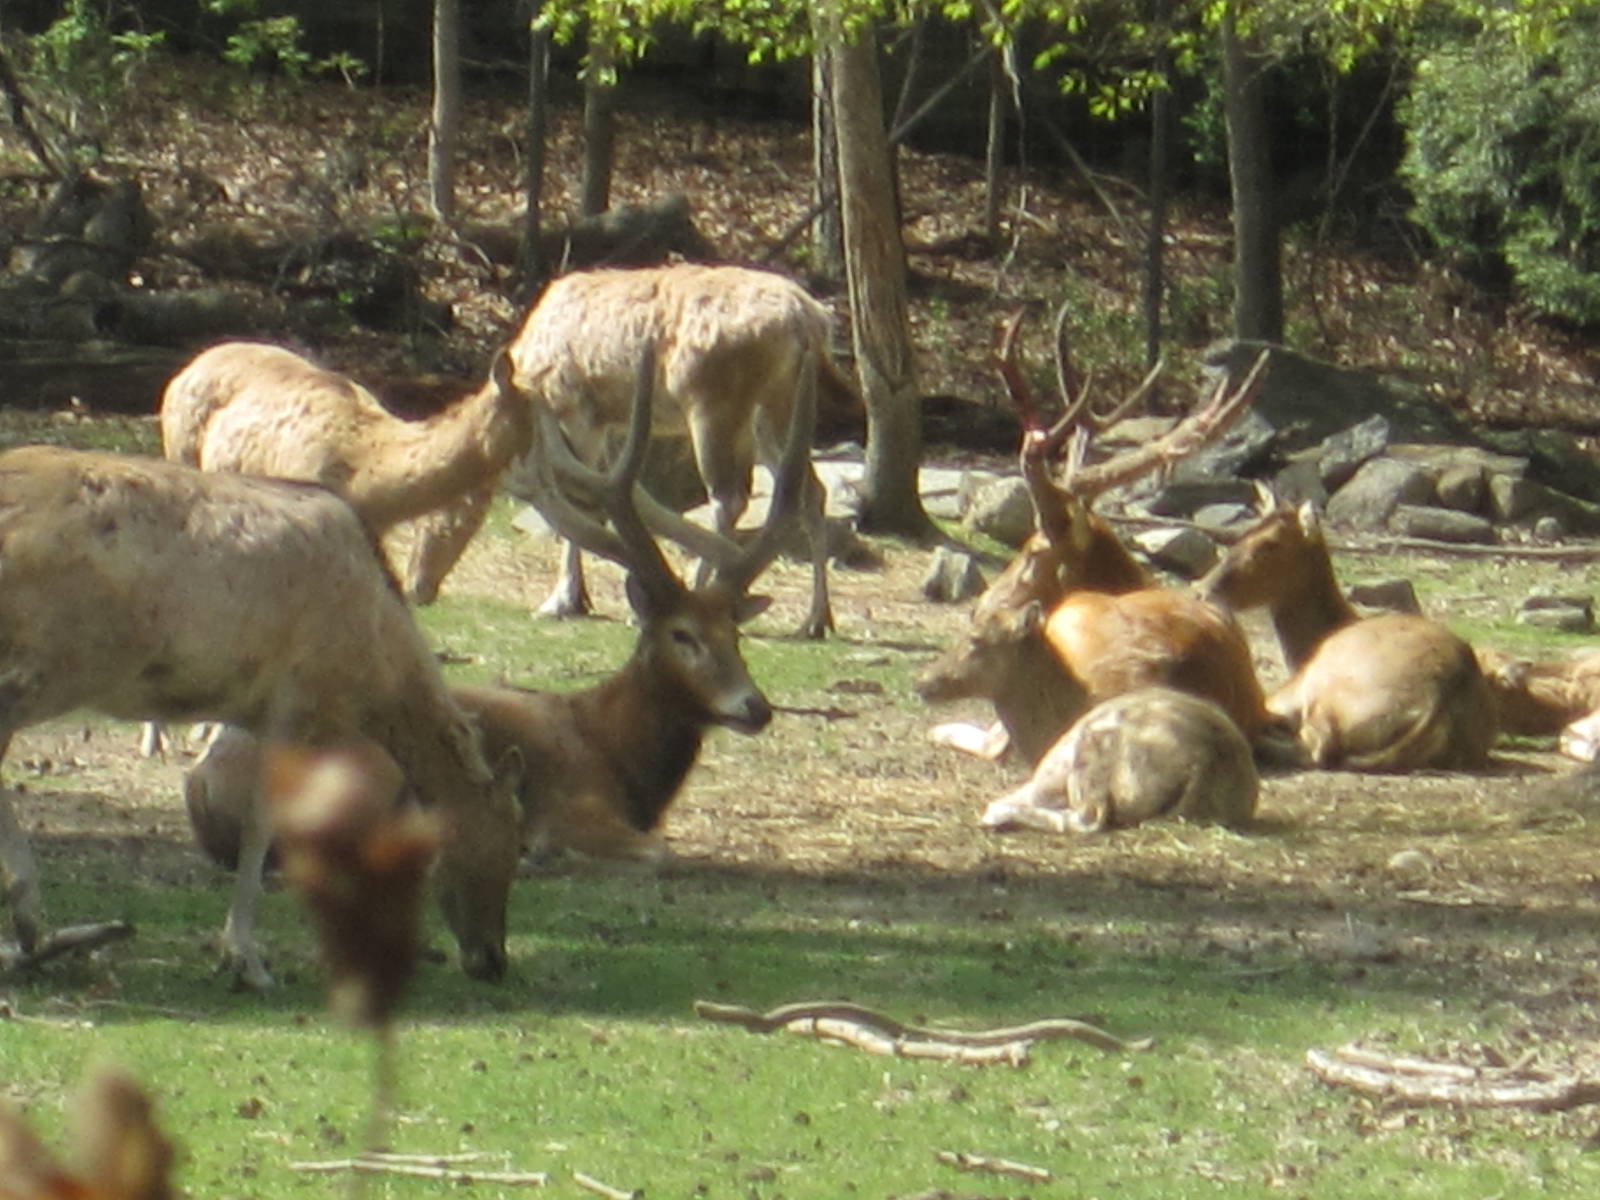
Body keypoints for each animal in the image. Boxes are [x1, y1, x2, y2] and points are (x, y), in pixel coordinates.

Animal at [0, 444, 522, 989]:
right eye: (506, 848)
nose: (493, 960)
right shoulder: (295, 704)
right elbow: (263, 823)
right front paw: (246, 960)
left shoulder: (257, 712)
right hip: (60, 664)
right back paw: (33, 922)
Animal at [183, 344, 812, 881]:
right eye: (683, 635)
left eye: (736, 634)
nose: (755, 707)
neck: (621, 757)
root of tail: (201, 785)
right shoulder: (574, 802)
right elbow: (659, 851)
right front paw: (546, 850)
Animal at [403, 262, 843, 637]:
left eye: (436, 512)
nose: (416, 586)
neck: (526, 374)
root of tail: (810, 320)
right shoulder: (606, 424)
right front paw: (582, 597)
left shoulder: (577, 412)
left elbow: (581, 505)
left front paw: (562, 601)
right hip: (775, 408)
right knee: (809, 491)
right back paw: (816, 619)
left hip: (714, 403)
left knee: (729, 496)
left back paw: (702, 591)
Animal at [1197, 491, 1498, 771]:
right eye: (1244, 533)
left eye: (1270, 544)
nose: (1203, 589)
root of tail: (1439, 698)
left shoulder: (1286, 694)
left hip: (1323, 691)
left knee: (1318, 748)